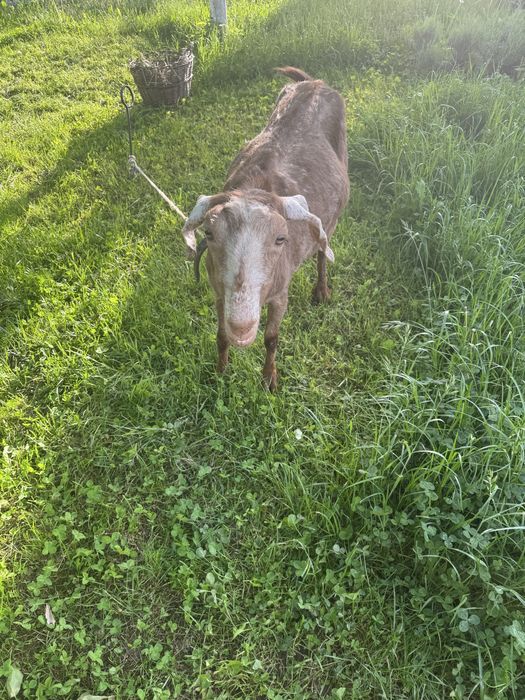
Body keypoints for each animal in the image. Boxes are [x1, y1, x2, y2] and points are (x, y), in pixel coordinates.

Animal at [182, 67, 350, 390]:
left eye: (280, 238)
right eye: (209, 233)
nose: (242, 325)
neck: (256, 187)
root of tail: (314, 82)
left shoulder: (280, 292)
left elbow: (272, 338)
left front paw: (269, 379)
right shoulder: (218, 291)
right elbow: (220, 335)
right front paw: (220, 372)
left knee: (323, 251)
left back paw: (321, 290)